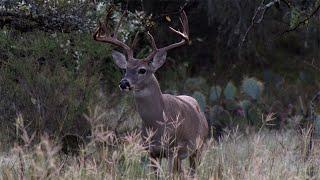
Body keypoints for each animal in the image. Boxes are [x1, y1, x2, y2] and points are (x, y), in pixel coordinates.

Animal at [93, 9, 208, 176]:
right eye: (125, 69)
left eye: (142, 70)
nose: (123, 83)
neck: (156, 124)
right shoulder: (151, 151)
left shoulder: (172, 148)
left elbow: (169, 175)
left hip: (199, 146)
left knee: (192, 171)